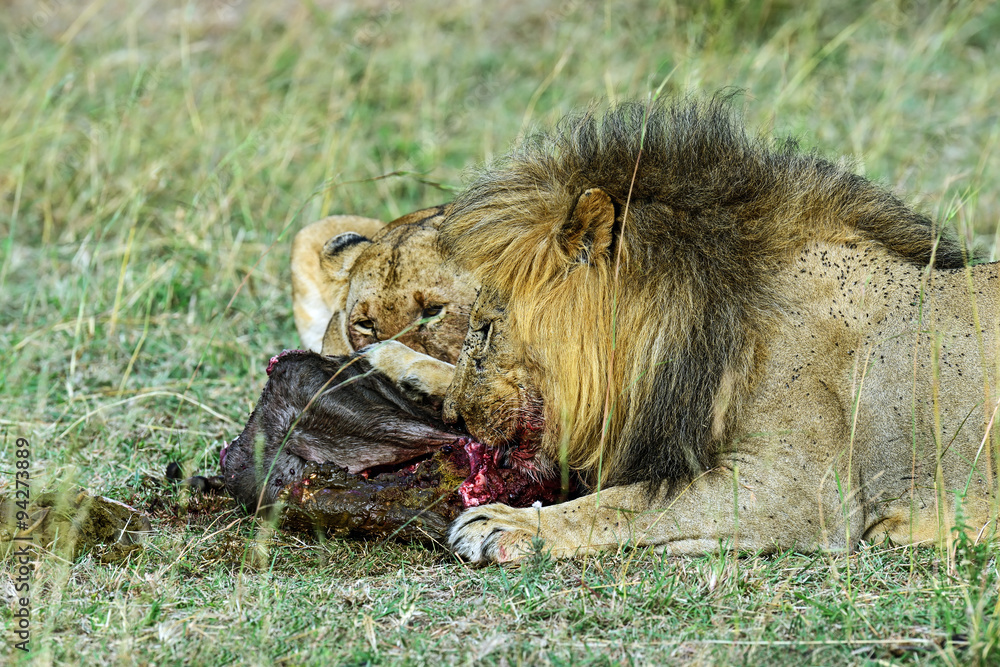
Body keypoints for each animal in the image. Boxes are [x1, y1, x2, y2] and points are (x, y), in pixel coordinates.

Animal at [366, 99, 999, 563]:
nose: (457, 419)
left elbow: (628, 504)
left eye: (487, 328)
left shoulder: (803, 489)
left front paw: (503, 523)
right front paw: (394, 358)